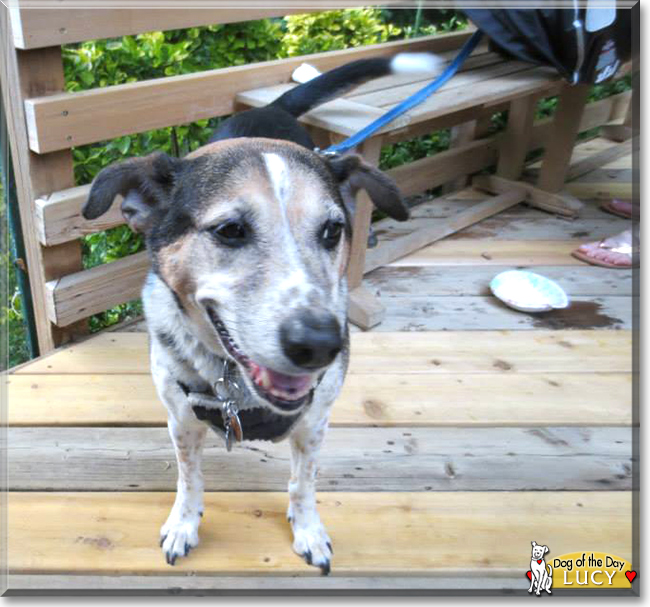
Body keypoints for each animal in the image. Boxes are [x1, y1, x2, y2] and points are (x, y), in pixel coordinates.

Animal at [79, 51, 436, 576]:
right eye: (229, 230)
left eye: (333, 231)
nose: (320, 345)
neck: (233, 384)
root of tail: (271, 108)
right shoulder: (180, 419)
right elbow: (189, 478)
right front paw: (184, 524)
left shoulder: (314, 423)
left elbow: (303, 483)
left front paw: (308, 531)